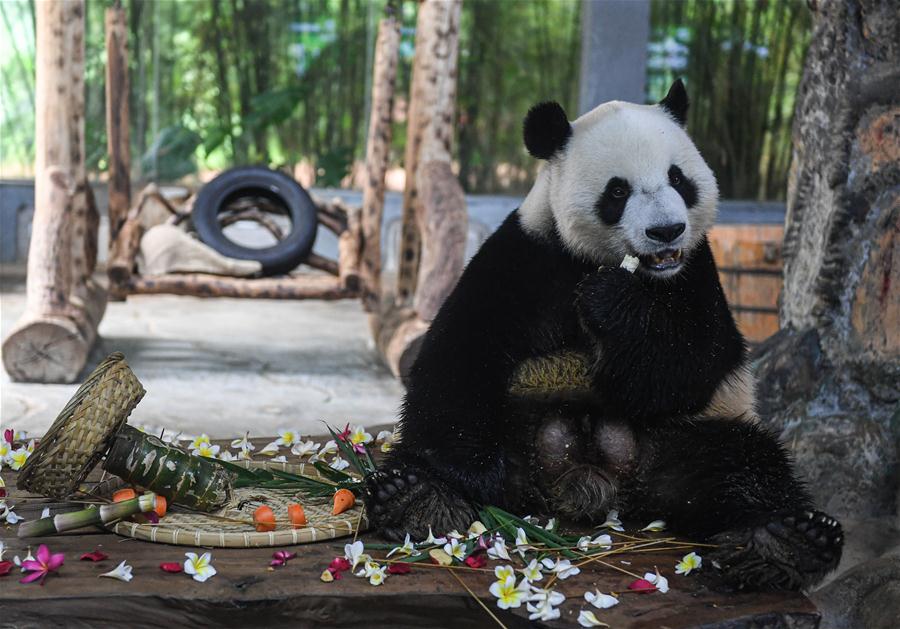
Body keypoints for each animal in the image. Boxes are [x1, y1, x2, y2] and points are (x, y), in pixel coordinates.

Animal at [366, 82, 844, 588]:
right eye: (618, 190)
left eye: (678, 178)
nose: (666, 230)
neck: (611, 264)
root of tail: (592, 481)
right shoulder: (526, 257)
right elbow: (460, 352)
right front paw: (462, 476)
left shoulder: (697, 272)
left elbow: (688, 366)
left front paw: (609, 302)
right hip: (518, 424)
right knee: (428, 450)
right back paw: (418, 498)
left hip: (687, 434)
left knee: (745, 466)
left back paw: (785, 544)